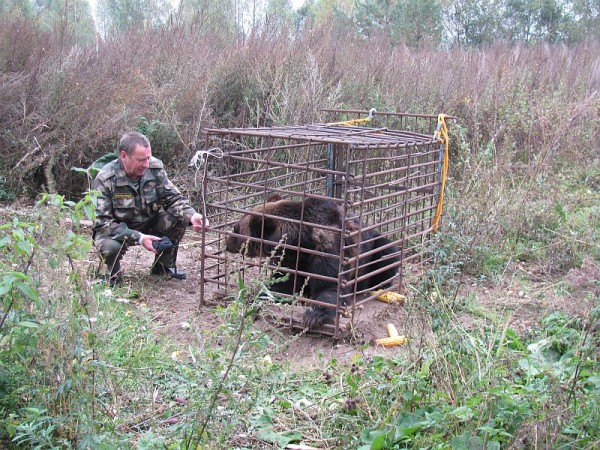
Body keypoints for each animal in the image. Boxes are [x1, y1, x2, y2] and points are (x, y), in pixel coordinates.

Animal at [224, 195, 398, 328]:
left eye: (235, 228)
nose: (226, 242)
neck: (300, 241)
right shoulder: (290, 261)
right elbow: (282, 284)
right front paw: (255, 296)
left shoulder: (326, 249)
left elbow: (329, 286)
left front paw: (314, 315)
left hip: (370, 250)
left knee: (388, 253)